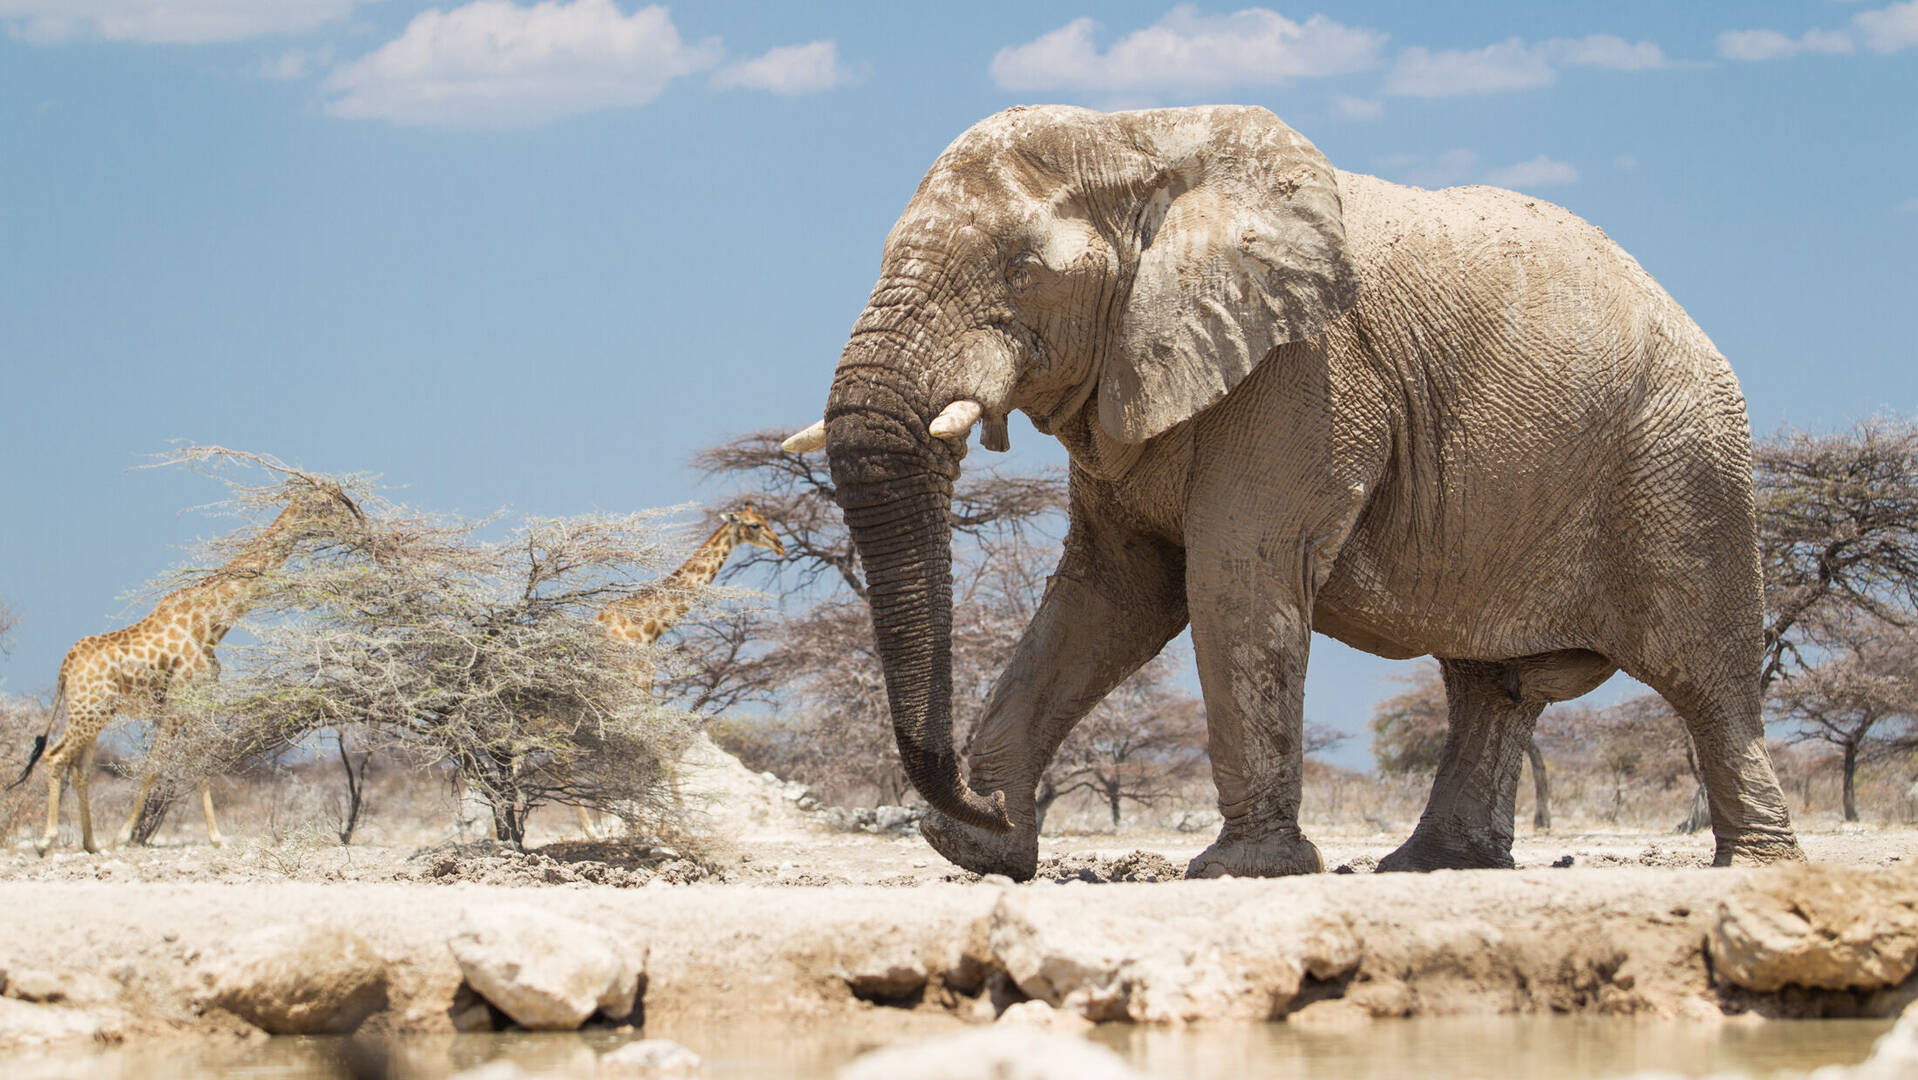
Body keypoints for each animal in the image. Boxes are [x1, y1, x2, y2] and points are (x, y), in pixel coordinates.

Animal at [13, 485, 368, 859]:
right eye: (328, 502)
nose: (357, 522)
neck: (208, 624)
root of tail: (65, 667)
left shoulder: (198, 702)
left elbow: (200, 765)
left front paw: (216, 838)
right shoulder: (179, 701)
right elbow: (155, 766)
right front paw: (124, 836)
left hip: (95, 714)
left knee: (78, 768)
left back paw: (91, 844)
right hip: (87, 712)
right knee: (54, 758)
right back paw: (46, 841)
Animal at [786, 103, 1802, 878]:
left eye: (1022, 271)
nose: (974, 797)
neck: (1143, 141)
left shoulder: (1303, 377)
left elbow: (1235, 578)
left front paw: (1242, 871)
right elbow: (1109, 595)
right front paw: (980, 848)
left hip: (1684, 464)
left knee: (1705, 675)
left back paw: (1754, 865)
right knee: (1493, 686)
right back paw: (1432, 866)